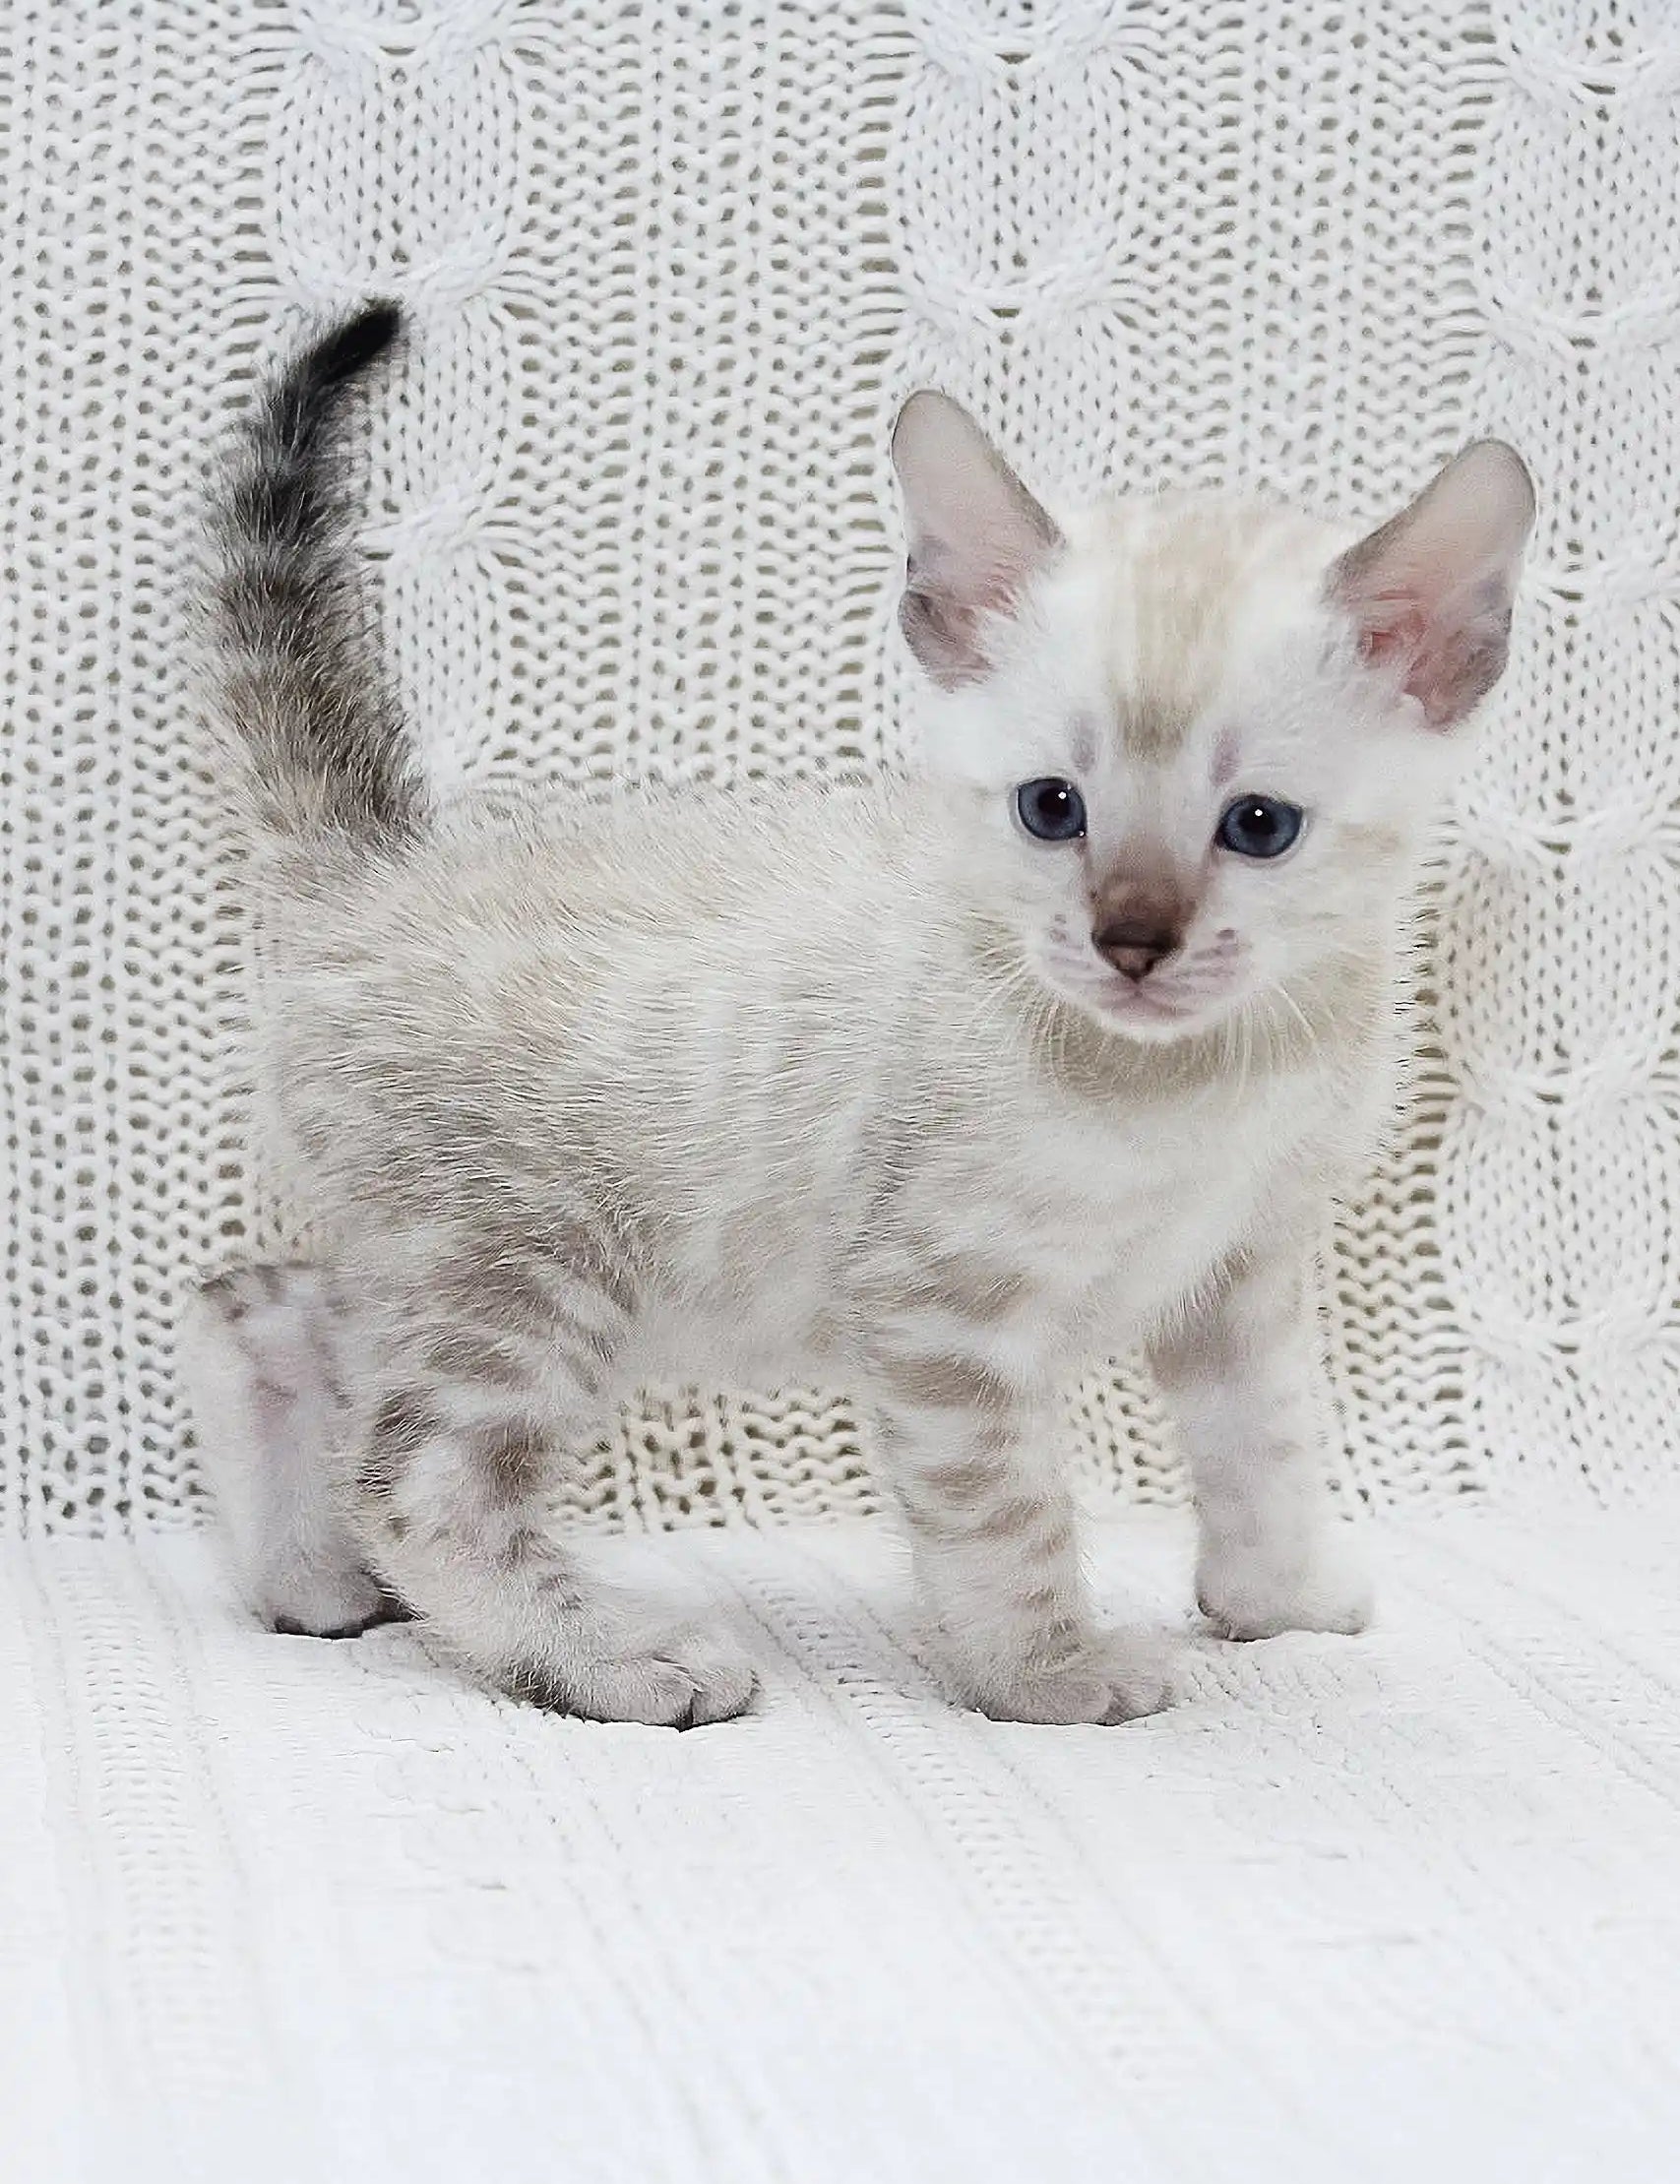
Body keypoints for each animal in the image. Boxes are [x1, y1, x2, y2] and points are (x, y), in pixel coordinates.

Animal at [183, 307, 1537, 1729]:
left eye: (1258, 825)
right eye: (1051, 807)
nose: (1129, 941)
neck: (1206, 1083)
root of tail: (380, 869)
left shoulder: (1243, 1269)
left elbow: (1262, 1445)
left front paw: (1278, 1595)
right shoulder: (942, 1305)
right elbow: (1006, 1514)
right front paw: (1046, 1670)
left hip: (431, 1255)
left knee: (253, 1304)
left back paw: (306, 1580)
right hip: (533, 1266)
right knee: (418, 1477)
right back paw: (616, 1658)